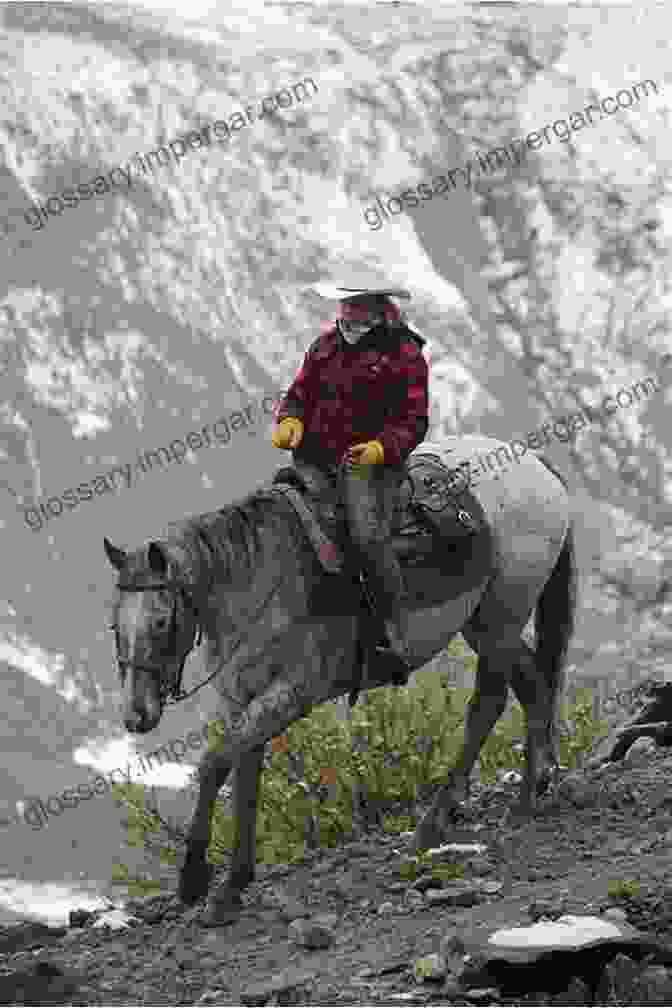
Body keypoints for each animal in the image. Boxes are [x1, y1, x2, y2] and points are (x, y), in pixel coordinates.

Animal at [105, 433, 580, 923]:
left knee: (508, 695)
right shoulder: (240, 699)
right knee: (512, 692)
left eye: (162, 622)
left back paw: (506, 805)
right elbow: (245, 776)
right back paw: (478, 810)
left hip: (498, 621)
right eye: (114, 626)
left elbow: (214, 764)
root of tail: (533, 463)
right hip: (485, 625)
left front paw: (194, 880)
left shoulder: (292, 693)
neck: (260, 578)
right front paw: (232, 886)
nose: (136, 715)